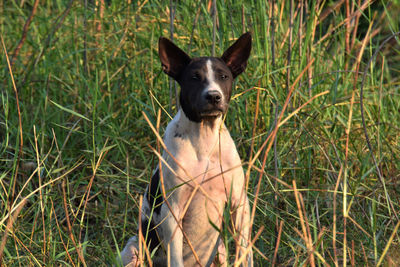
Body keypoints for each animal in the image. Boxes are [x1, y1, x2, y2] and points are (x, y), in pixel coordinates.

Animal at [117, 32, 252, 266]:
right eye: (194, 78)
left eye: (223, 76)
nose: (213, 96)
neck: (204, 142)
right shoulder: (173, 212)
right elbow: (176, 256)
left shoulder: (239, 205)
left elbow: (245, 251)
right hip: (133, 249)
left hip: (220, 250)